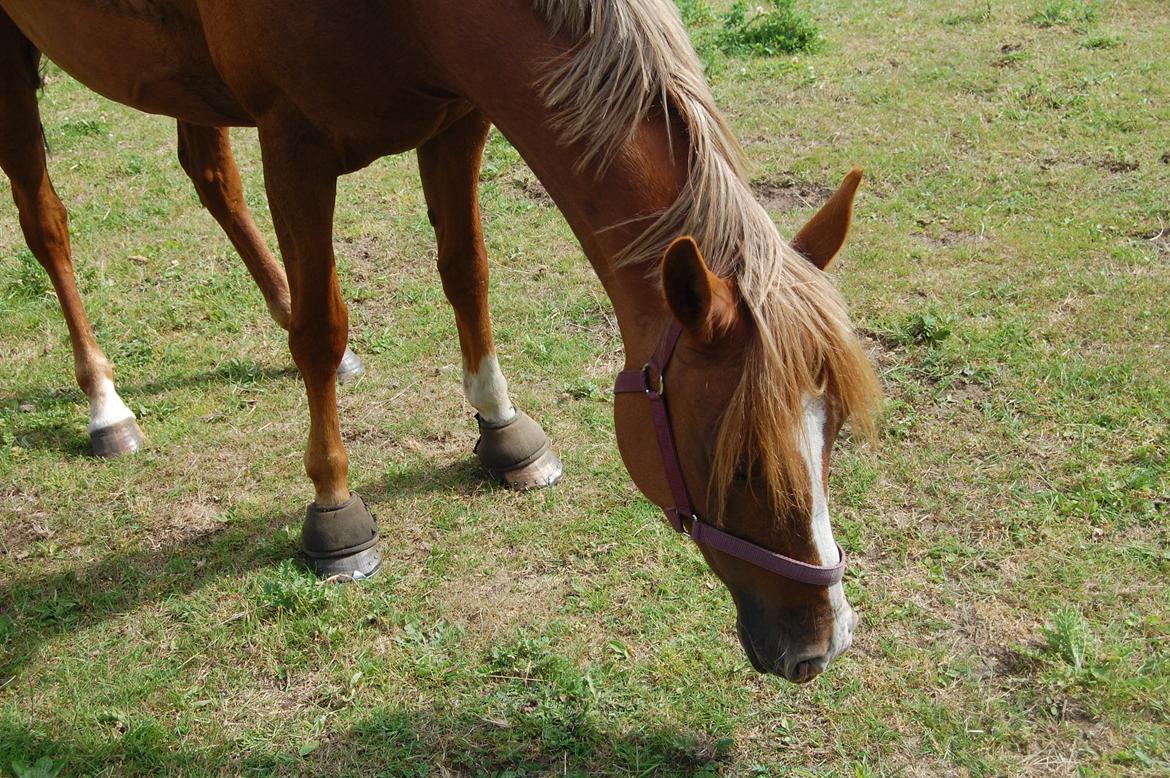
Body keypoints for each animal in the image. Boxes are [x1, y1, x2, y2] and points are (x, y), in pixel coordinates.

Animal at [0, 0, 879, 678]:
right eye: (738, 462)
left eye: (832, 431)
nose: (821, 645)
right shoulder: (295, 143)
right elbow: (322, 327)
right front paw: (335, 509)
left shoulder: (461, 119)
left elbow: (466, 272)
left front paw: (505, 432)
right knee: (46, 220)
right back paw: (105, 403)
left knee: (208, 173)